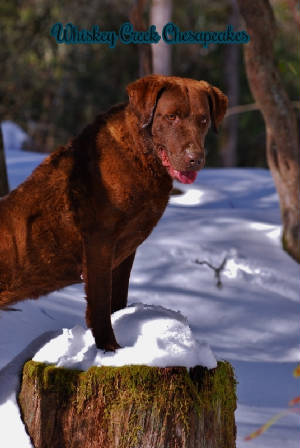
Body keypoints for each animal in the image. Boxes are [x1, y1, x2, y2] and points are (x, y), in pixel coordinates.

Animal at [0, 75, 226, 352]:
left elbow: (118, 298)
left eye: (203, 120)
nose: (195, 159)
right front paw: (109, 349)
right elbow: (100, 303)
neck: (141, 158)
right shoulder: (99, 241)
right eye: (171, 116)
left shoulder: (127, 248)